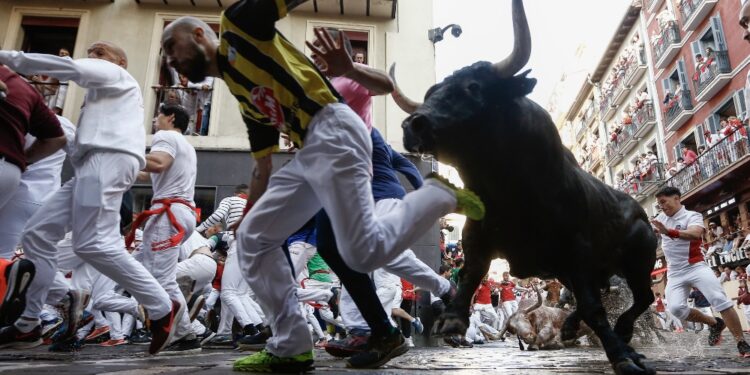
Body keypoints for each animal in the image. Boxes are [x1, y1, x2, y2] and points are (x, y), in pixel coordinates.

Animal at [390, 1, 660, 374]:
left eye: (473, 87)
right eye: (431, 94)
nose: (413, 124)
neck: (509, 191)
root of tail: (639, 211)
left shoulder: (578, 250)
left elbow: (594, 307)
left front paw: (621, 357)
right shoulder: (479, 236)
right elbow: (471, 274)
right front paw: (453, 319)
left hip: (639, 261)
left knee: (641, 297)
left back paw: (621, 335)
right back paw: (576, 328)